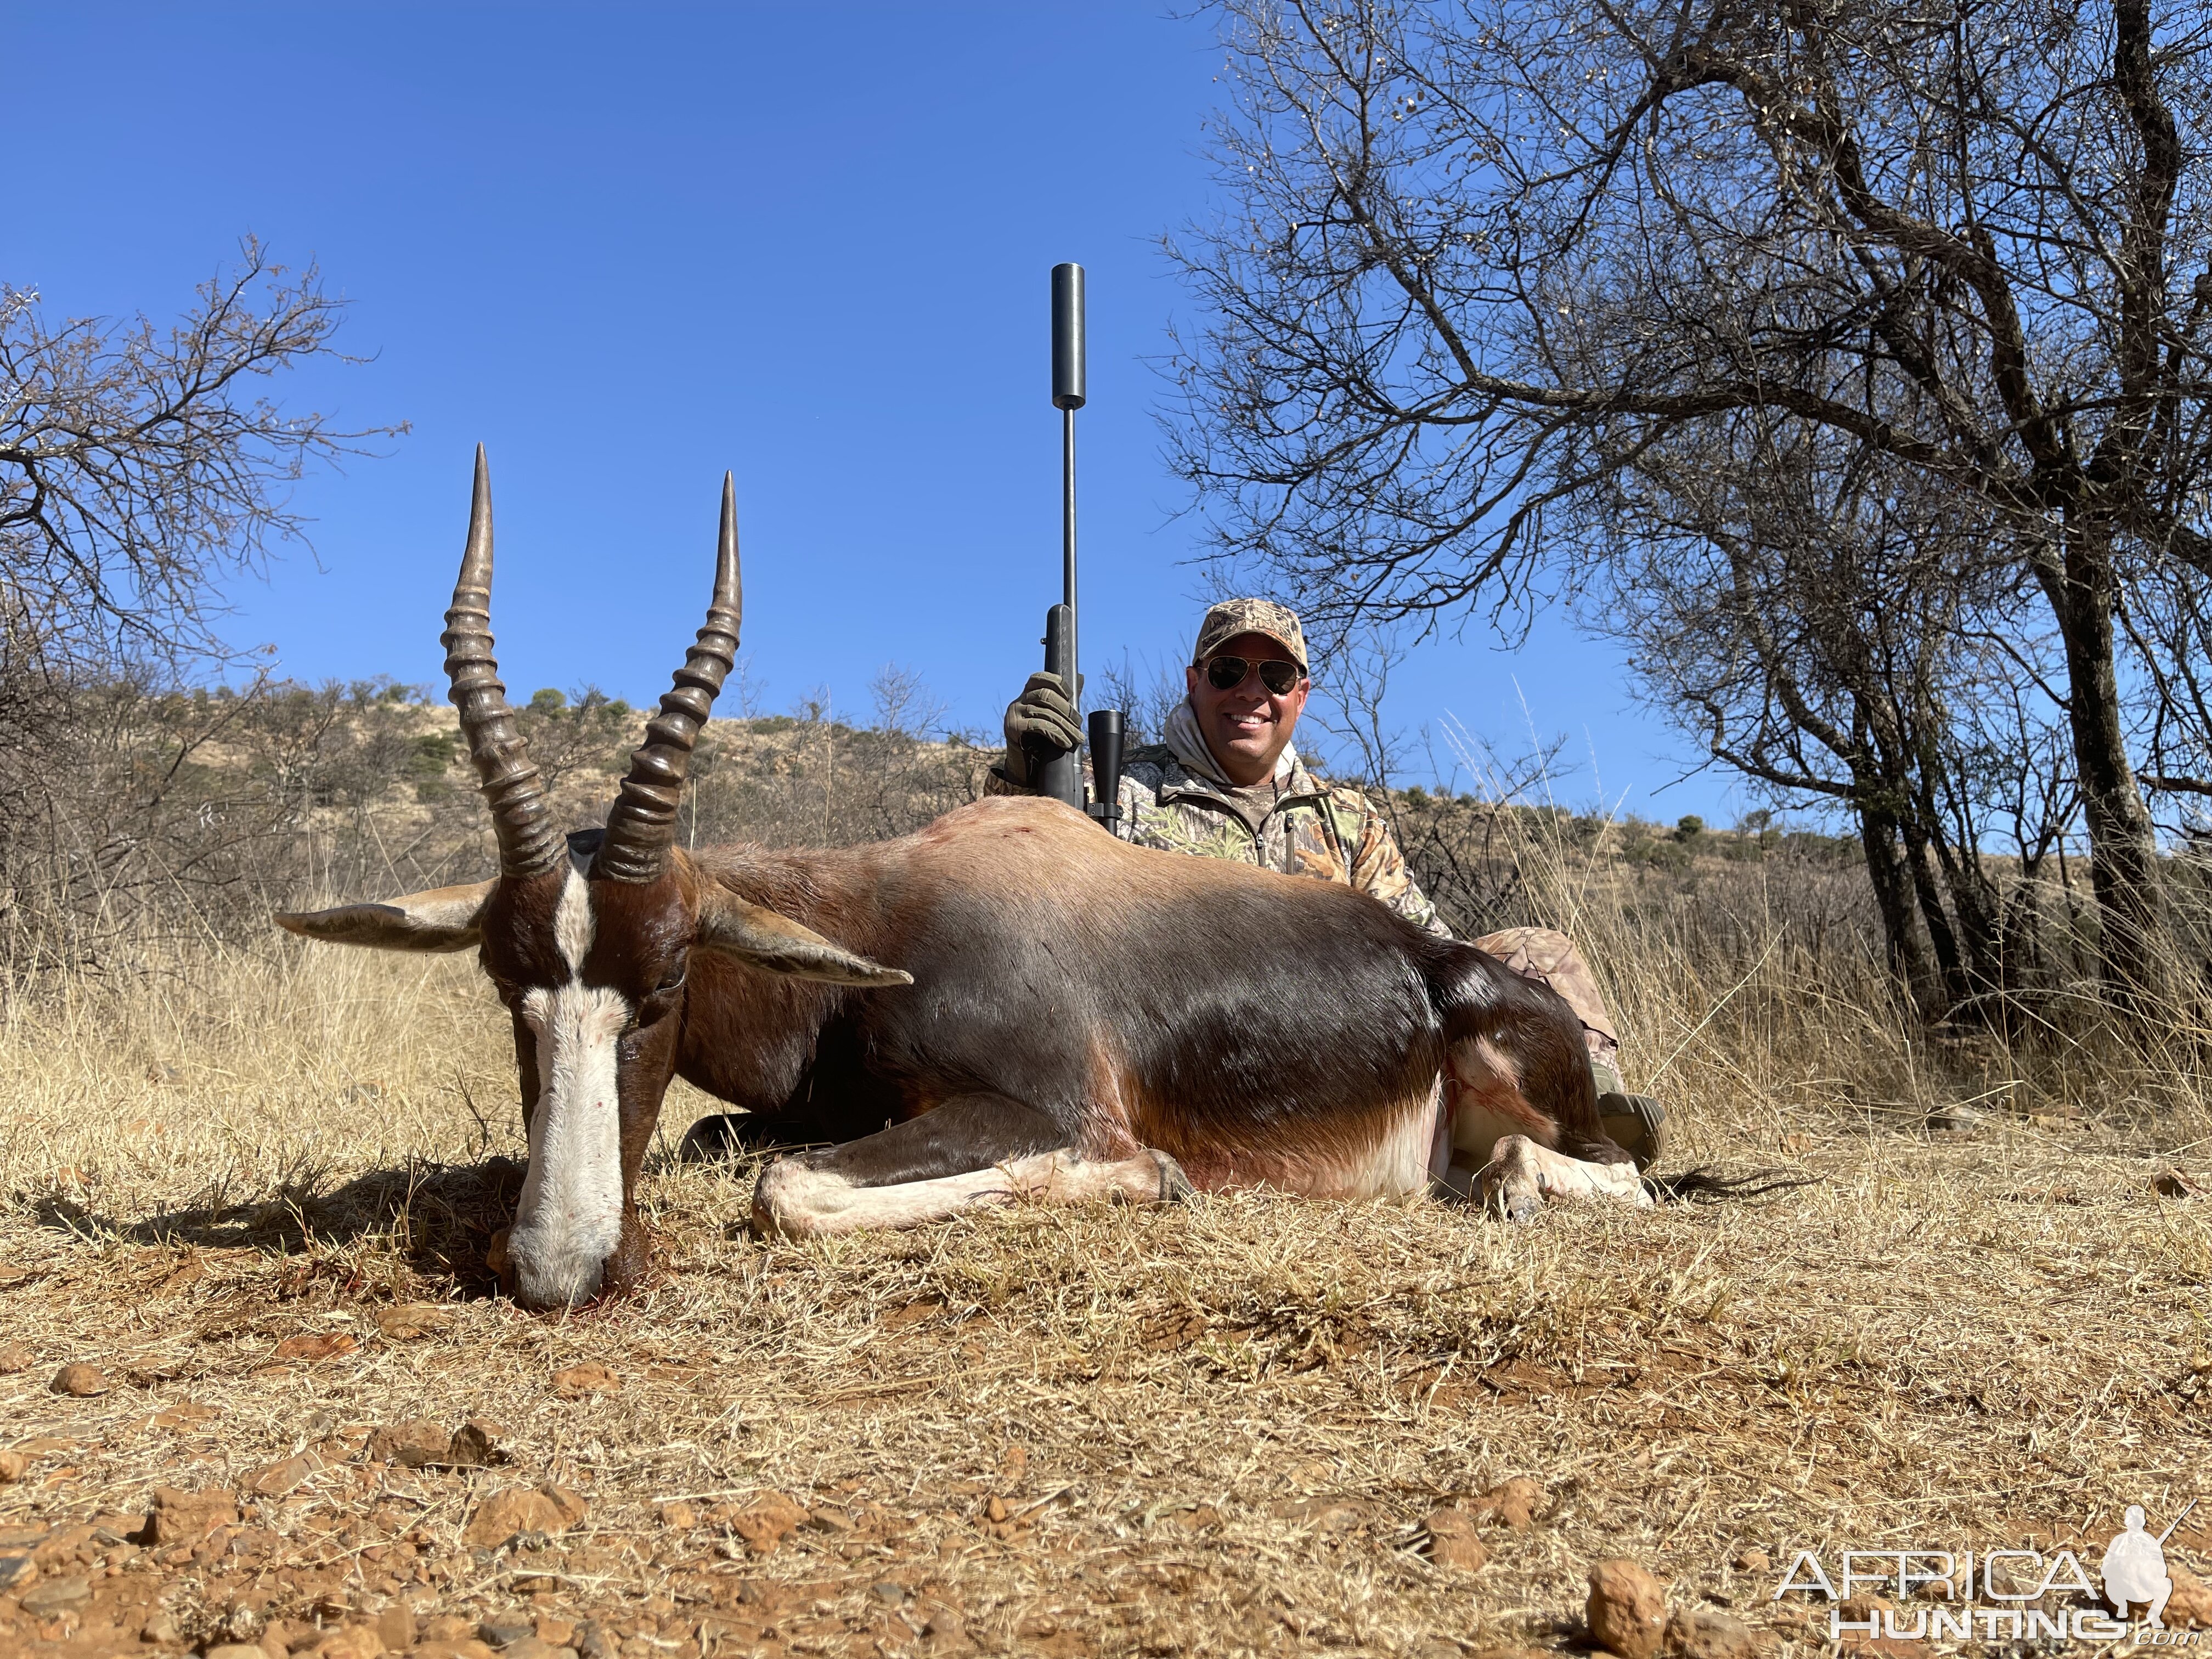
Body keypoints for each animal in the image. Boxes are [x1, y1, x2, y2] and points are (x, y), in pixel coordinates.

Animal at [281, 455, 1645, 1309]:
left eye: (662, 982)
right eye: (504, 985)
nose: (559, 1272)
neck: (893, 915)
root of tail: (1446, 971)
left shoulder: (1045, 1107)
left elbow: (786, 1188)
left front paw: (1151, 1179)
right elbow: (736, 1147)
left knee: (1590, 1176)